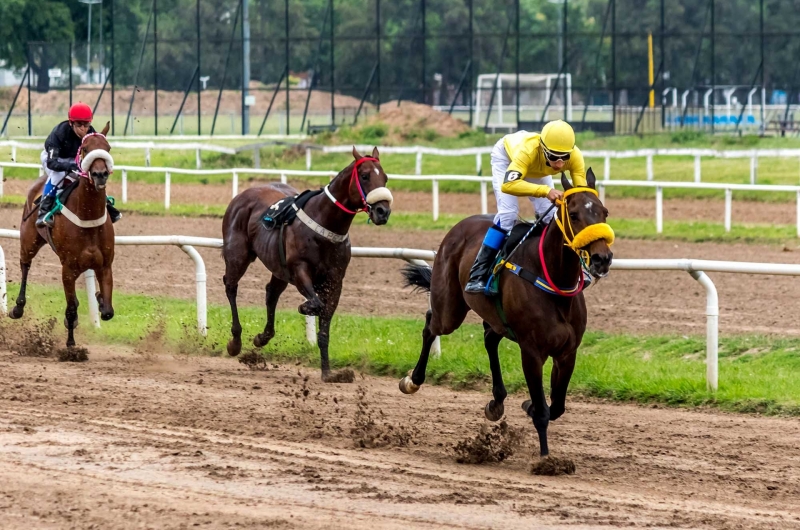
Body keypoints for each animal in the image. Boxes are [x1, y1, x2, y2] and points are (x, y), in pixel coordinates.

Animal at [10, 123, 116, 346]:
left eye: (108, 148)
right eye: (85, 149)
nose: (100, 174)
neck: (87, 217)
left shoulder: (105, 265)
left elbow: (108, 311)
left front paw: (100, 299)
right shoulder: (67, 268)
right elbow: (70, 309)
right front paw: (71, 344)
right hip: (29, 241)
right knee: (25, 265)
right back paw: (18, 307)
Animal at [220, 146, 392, 382]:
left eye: (385, 177)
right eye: (365, 176)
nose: (383, 211)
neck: (325, 223)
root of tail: (242, 195)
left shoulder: (335, 280)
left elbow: (324, 324)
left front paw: (328, 372)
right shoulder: (300, 270)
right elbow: (316, 304)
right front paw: (305, 307)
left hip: (278, 267)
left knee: (271, 293)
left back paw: (262, 337)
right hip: (238, 255)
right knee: (231, 286)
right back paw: (235, 342)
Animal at [400, 169, 612, 454]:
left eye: (604, 212)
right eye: (575, 214)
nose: (602, 258)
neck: (554, 282)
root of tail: (459, 226)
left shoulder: (567, 352)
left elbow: (557, 406)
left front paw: (528, 406)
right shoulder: (531, 352)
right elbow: (544, 411)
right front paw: (545, 457)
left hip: (496, 318)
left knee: (489, 338)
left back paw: (496, 401)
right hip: (450, 311)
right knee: (431, 324)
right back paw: (413, 380)